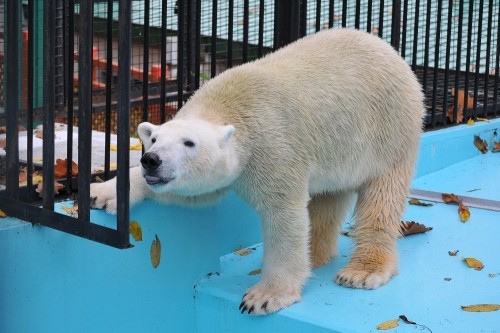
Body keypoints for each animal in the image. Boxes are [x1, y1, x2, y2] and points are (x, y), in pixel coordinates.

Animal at [89, 28, 422, 314]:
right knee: (328, 197)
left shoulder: (274, 147)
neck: (232, 105)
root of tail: (393, 53)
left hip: (389, 132)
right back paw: (314, 255)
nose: (152, 160)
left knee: (381, 200)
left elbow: (284, 215)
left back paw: (362, 271)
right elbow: (195, 194)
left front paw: (265, 296)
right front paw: (103, 193)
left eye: (189, 143)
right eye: (154, 140)